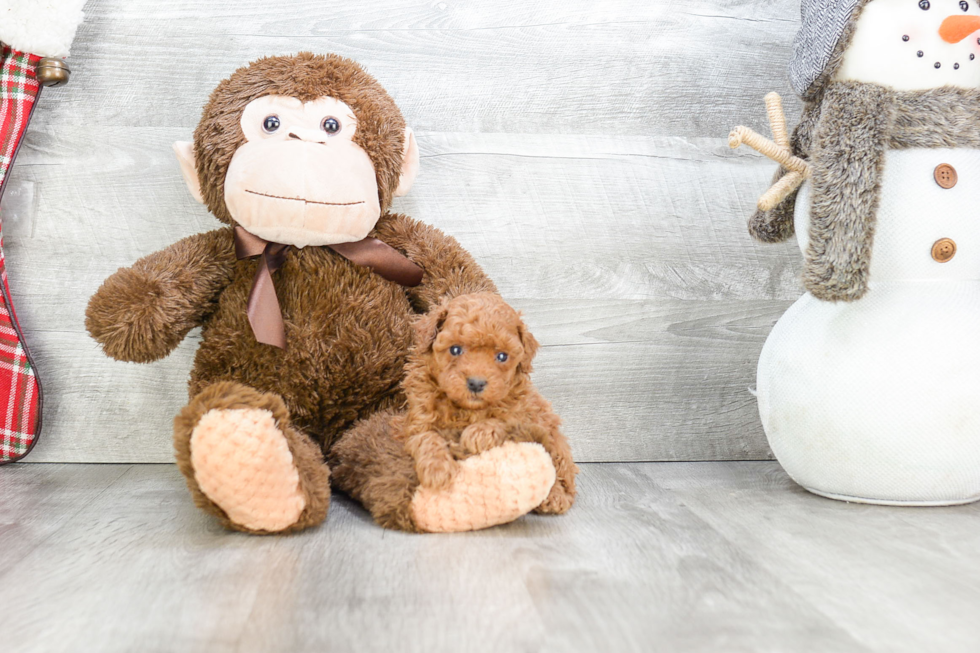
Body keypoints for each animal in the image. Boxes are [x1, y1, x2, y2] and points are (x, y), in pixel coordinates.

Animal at [402, 292, 580, 512]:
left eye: (502, 356)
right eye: (455, 349)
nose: (476, 383)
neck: (466, 409)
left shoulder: (525, 416)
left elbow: (505, 420)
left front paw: (478, 433)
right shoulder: (418, 419)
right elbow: (427, 438)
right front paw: (436, 470)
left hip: (554, 437)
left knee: (561, 473)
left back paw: (555, 497)